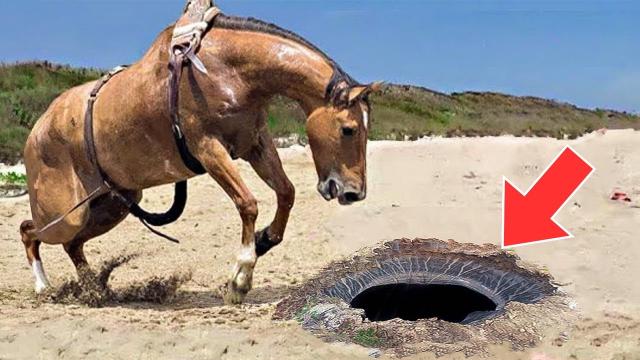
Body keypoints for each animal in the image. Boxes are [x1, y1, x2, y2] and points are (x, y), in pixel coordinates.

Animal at [18, 9, 380, 304]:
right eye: (349, 129)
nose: (354, 193)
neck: (227, 70)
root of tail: (37, 128)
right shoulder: (208, 148)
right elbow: (248, 203)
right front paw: (240, 278)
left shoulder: (255, 144)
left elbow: (286, 192)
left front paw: (264, 240)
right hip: (67, 215)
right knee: (30, 232)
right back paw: (44, 287)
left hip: (111, 205)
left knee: (71, 245)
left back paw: (94, 290)